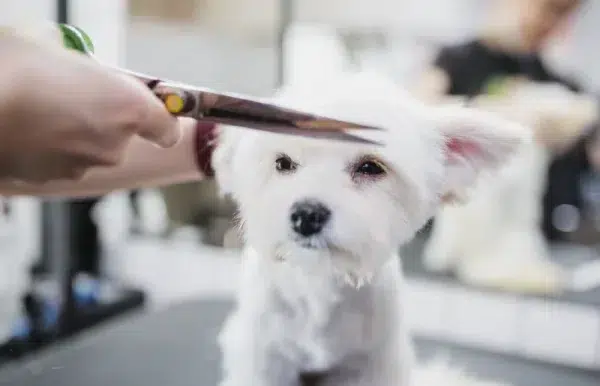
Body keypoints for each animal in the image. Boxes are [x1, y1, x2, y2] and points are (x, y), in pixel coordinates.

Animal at [210, 73, 524, 386]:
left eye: (371, 167)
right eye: (283, 162)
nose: (307, 215)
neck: (321, 282)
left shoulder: (374, 363)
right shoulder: (263, 356)